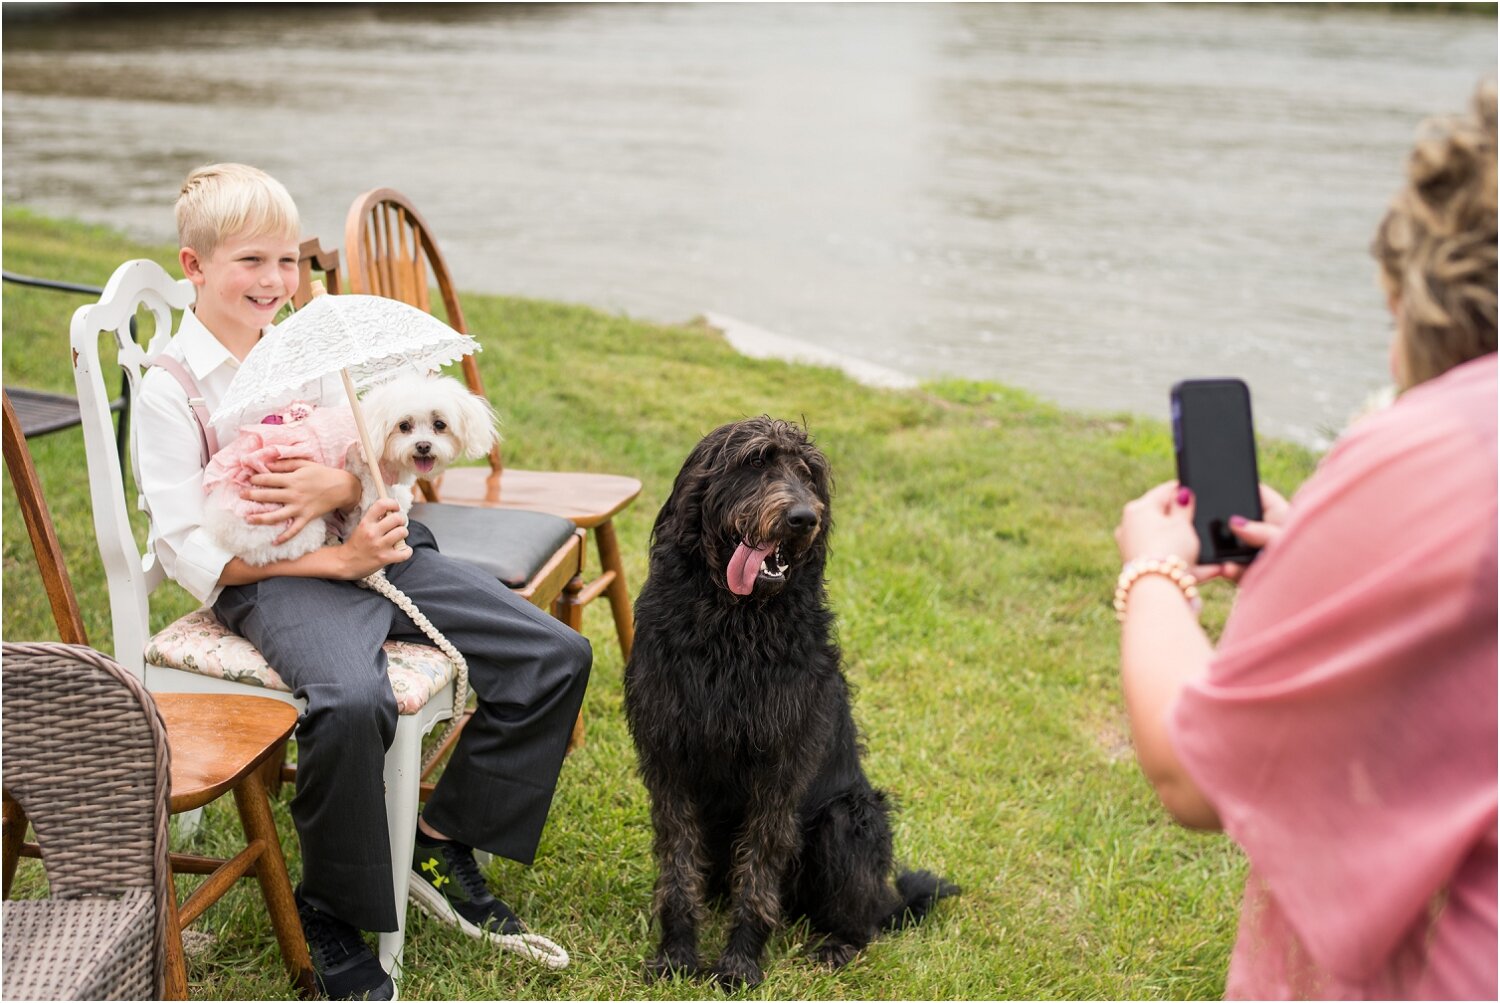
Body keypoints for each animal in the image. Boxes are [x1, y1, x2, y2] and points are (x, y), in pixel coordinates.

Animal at [624, 413, 960, 983]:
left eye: (809, 473)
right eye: (754, 461)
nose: (804, 518)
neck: (733, 626)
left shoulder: (780, 769)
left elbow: (760, 873)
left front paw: (739, 964)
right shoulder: (669, 760)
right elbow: (678, 865)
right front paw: (677, 954)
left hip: (847, 820)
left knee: (863, 921)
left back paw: (838, 946)